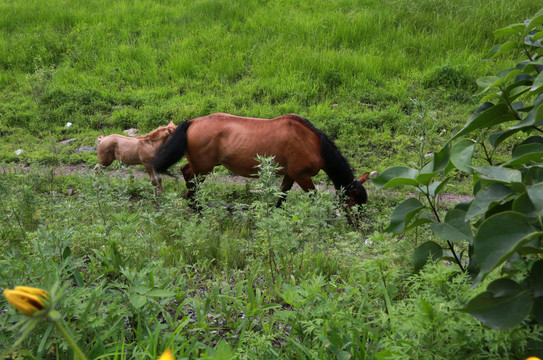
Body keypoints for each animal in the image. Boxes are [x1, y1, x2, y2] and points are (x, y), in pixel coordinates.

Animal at [152, 114, 370, 207]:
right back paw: (196, 207)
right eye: (354, 204)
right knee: (191, 181)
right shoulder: (302, 176)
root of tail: (192, 122)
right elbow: (314, 197)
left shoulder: (290, 175)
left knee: (185, 171)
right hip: (204, 168)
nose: (356, 226)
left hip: (200, 166)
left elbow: (282, 197)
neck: (312, 143)